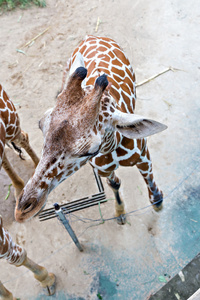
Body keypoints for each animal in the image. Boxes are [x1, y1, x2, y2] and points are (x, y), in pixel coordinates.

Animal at [14, 35, 167, 224]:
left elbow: (149, 177)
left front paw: (158, 202)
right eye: (41, 124)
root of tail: (91, 36)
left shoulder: (143, 156)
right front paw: (120, 212)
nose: (22, 210)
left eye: (90, 150)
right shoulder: (103, 170)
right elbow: (114, 183)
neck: (112, 147)